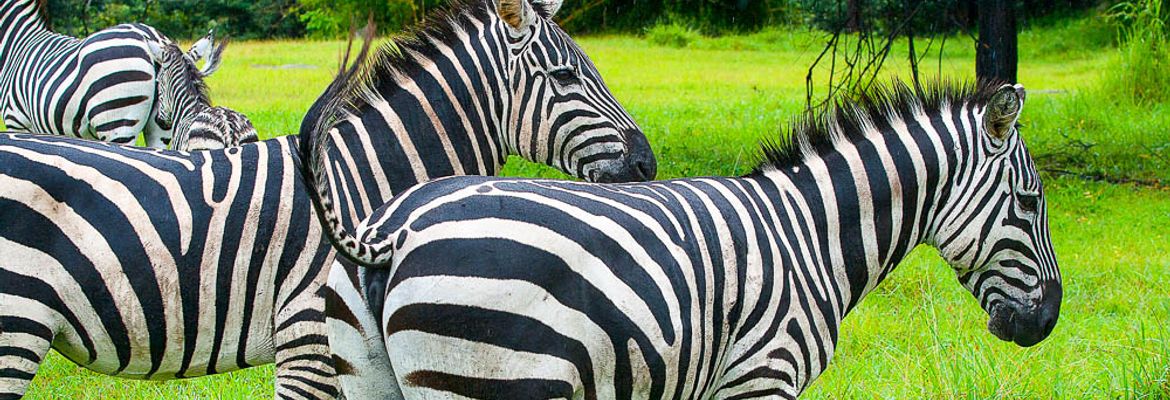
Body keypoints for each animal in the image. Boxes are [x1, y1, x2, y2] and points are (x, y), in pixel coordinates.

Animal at [305, 81, 1063, 399]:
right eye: (1030, 203)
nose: (1048, 323)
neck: (810, 233)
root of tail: (394, 228)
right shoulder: (762, 377)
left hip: (365, 380)